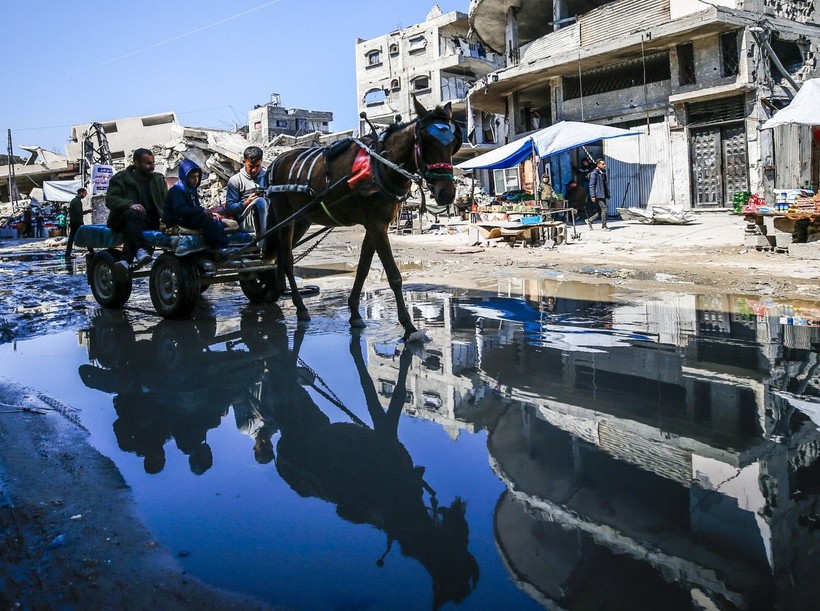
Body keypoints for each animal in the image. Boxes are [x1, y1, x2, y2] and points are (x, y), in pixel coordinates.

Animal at [268, 98, 462, 342]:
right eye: (426, 141)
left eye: (453, 143)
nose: (447, 193)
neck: (382, 165)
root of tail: (276, 162)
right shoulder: (376, 225)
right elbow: (394, 276)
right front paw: (409, 327)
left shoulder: (377, 224)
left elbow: (362, 268)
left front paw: (354, 313)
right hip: (285, 217)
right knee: (287, 260)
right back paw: (301, 308)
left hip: (302, 220)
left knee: (279, 255)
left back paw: (277, 292)